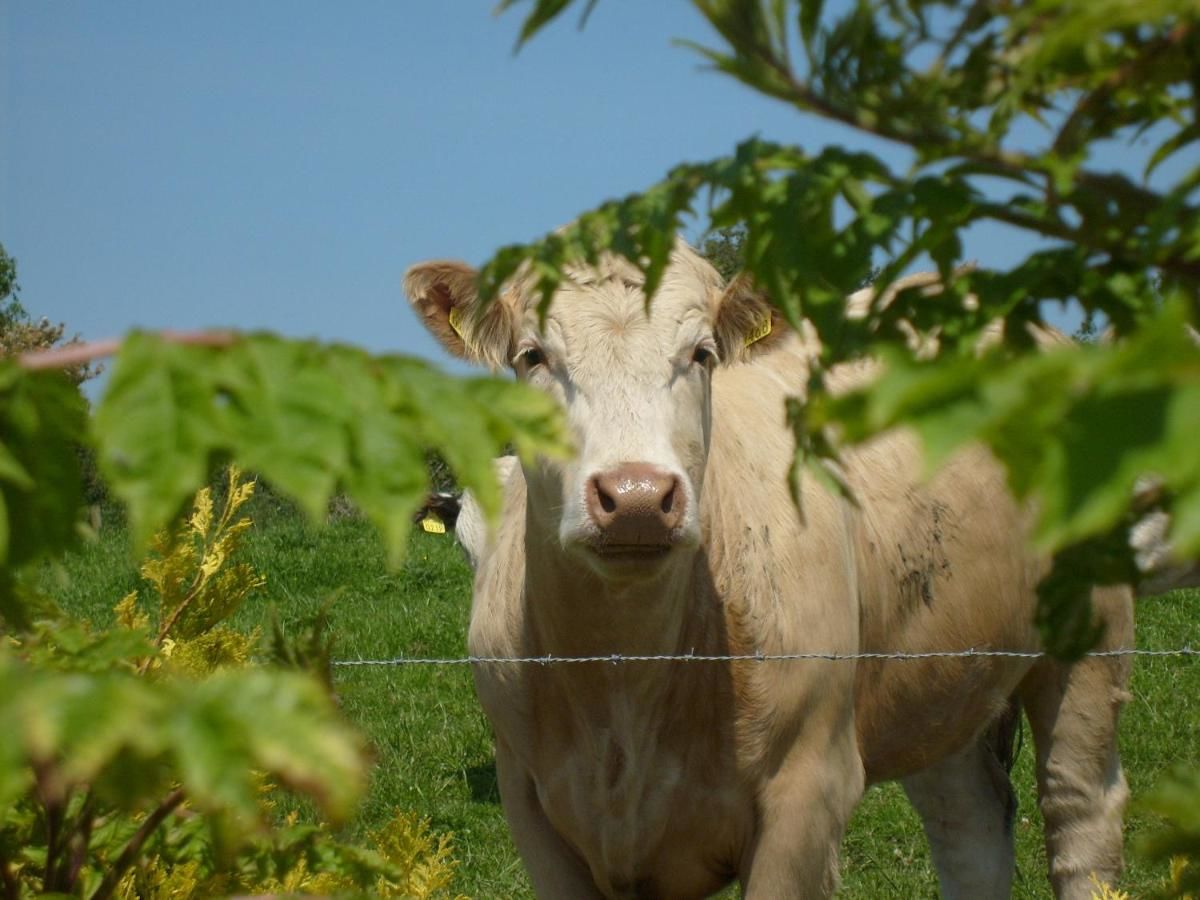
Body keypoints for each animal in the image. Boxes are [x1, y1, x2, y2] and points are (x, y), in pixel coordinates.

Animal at [403, 244, 1132, 900]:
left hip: (1091, 640)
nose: (636, 497)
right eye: (532, 357)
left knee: (1079, 814)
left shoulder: (806, 794)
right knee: (969, 829)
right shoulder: (532, 806)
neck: (622, 679)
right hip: (943, 676)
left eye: (701, 354)